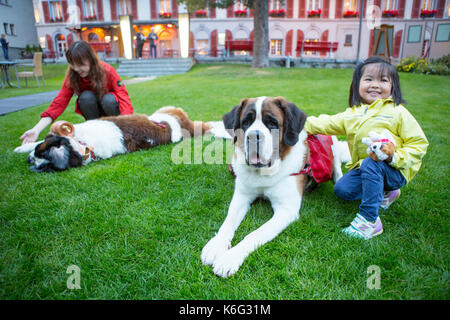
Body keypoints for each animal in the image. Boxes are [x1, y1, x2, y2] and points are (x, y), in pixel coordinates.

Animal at [202, 95, 350, 278]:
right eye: (246, 122)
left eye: (272, 123)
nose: (253, 136)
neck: (263, 174)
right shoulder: (241, 196)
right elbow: (228, 222)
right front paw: (215, 246)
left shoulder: (285, 211)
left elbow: (255, 234)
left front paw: (230, 258)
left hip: (333, 145)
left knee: (336, 168)